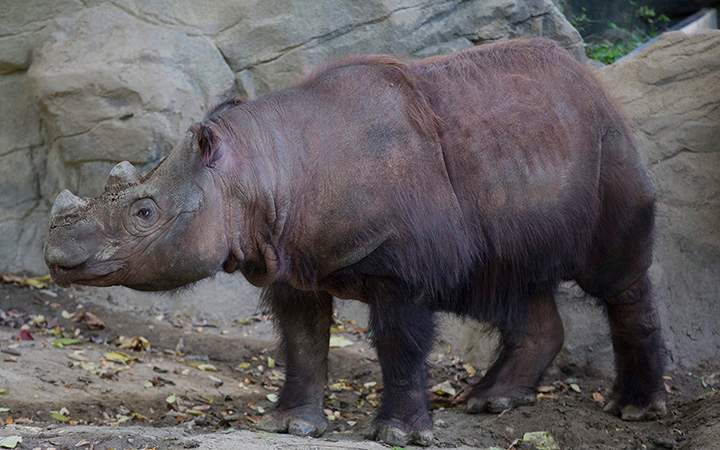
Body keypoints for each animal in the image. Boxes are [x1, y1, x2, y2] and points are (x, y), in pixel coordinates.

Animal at [44, 39, 666, 446]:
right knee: (504, 280)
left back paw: (635, 410)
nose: (57, 258)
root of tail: (593, 83)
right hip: (521, 150)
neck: (261, 169)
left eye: (145, 212)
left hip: (606, 145)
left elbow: (399, 342)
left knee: (614, 277)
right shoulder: (287, 260)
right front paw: (289, 425)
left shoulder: (401, 268)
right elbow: (301, 339)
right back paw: (490, 403)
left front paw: (398, 434)